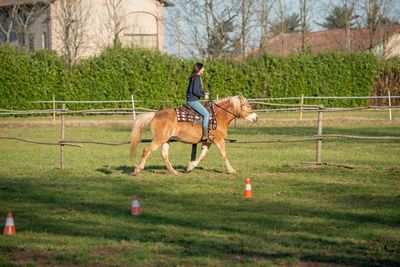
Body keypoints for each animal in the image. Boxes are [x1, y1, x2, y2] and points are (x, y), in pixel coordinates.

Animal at [130, 95, 258, 175]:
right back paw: (137, 169)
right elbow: (224, 155)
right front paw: (231, 170)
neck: (217, 116)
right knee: (146, 150)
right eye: (247, 106)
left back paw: (174, 172)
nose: (256, 118)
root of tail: (155, 114)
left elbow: (202, 155)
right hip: (159, 139)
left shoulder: (208, 141)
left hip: (166, 140)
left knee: (164, 155)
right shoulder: (219, 140)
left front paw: (190, 167)